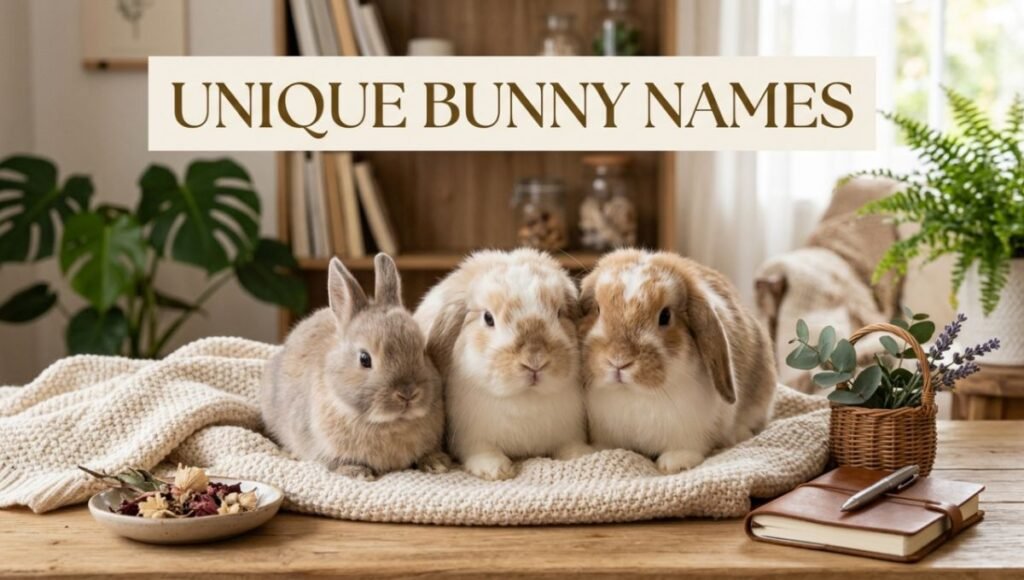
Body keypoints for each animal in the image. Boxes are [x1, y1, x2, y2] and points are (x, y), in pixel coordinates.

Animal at [260, 253, 449, 480]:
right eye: (364, 359)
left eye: (422, 351)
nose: (407, 394)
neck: (389, 423)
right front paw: (358, 472)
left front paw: (437, 464)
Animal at [414, 248, 593, 480]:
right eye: (488, 318)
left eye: (559, 313)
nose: (534, 361)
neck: (525, 398)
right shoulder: (470, 437)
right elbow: (482, 450)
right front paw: (496, 469)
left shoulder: (568, 432)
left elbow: (570, 446)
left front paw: (582, 455)